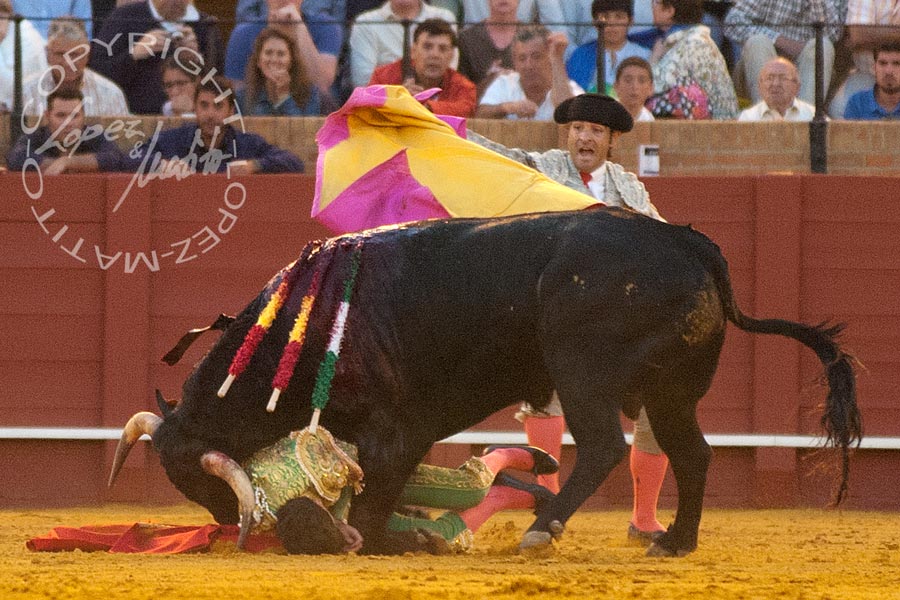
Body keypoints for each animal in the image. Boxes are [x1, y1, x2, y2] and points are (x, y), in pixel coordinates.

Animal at [109, 210, 860, 556]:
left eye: (196, 476)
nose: (224, 522)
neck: (303, 332)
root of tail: (689, 242)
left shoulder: (396, 433)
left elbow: (375, 514)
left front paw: (397, 541)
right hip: (672, 387)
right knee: (693, 452)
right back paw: (674, 540)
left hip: (580, 369)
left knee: (604, 448)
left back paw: (544, 529)